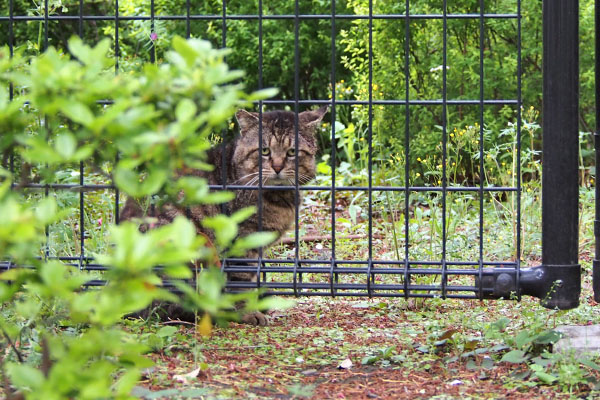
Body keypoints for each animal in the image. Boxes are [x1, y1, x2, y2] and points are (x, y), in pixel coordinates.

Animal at [120, 105, 328, 324]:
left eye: (292, 152)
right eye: (264, 151)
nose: (278, 167)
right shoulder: (243, 240)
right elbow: (241, 281)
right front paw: (247, 312)